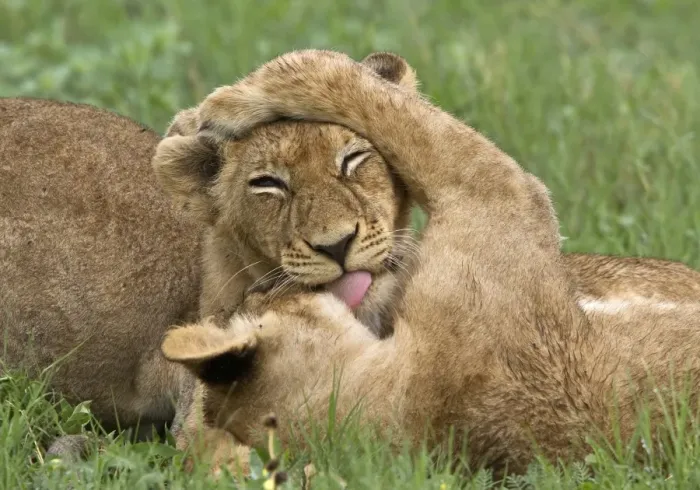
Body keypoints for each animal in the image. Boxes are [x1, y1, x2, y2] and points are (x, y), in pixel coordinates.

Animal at [161, 49, 700, 476]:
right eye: (267, 184)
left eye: (352, 160)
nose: (336, 245)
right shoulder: (490, 193)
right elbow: (334, 72)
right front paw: (226, 104)